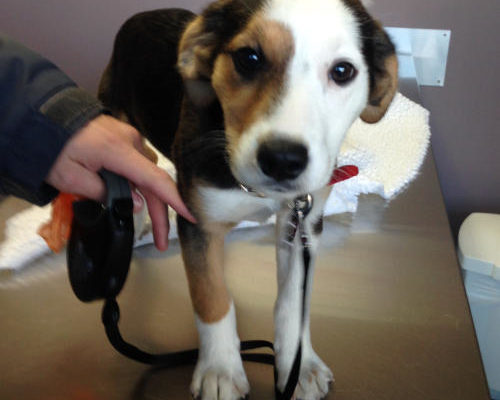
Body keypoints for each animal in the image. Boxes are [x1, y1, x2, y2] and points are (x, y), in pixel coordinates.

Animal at [99, 1, 398, 398]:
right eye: (249, 58)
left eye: (343, 71)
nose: (282, 159)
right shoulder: (198, 221)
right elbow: (211, 297)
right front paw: (220, 370)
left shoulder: (302, 223)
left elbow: (293, 303)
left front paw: (299, 366)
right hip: (115, 119)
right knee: (132, 161)